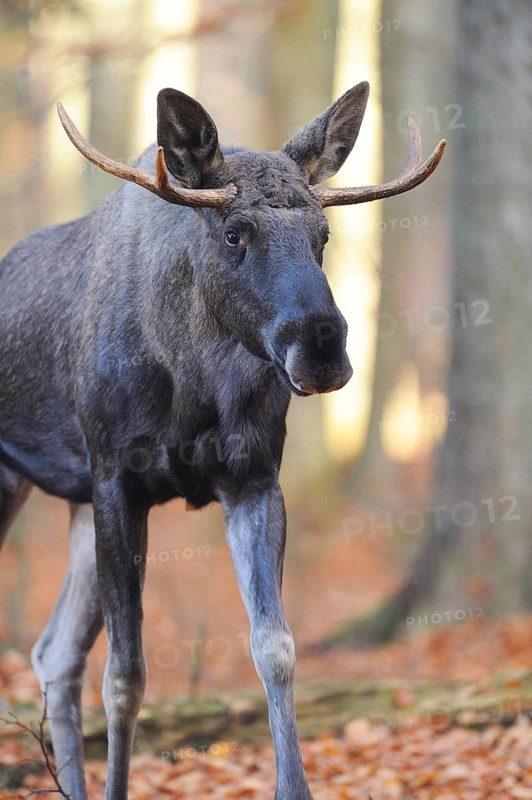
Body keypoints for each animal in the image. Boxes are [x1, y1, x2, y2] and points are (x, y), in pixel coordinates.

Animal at [0, 81, 445, 799]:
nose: (323, 347)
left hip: (75, 505)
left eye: (323, 234)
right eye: (235, 231)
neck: (193, 383)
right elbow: (125, 675)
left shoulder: (253, 480)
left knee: (55, 652)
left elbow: (276, 647)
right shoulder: (117, 480)